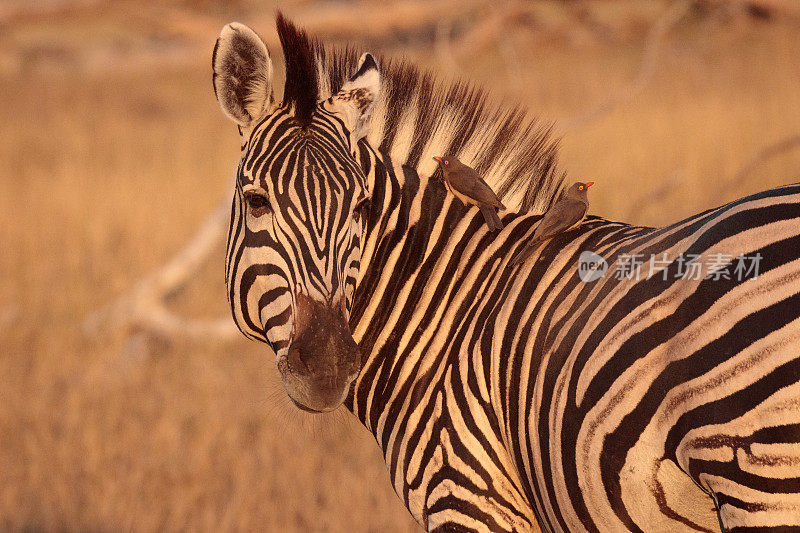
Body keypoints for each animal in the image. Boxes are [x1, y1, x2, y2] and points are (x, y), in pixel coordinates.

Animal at [211, 14, 800, 528]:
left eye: (359, 208)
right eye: (257, 202)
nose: (328, 368)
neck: (444, 311)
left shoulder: (468, 493)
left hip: (762, 482)